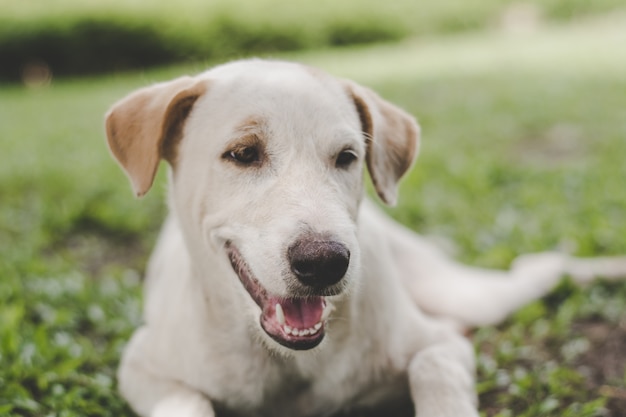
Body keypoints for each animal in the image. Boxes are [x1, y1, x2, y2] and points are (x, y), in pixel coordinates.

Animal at [105, 59, 624, 416]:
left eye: (347, 157)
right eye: (243, 153)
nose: (324, 262)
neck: (291, 364)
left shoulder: (438, 346)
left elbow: (433, 367)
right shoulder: (141, 363)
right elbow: (185, 403)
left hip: (467, 293)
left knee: (537, 267)